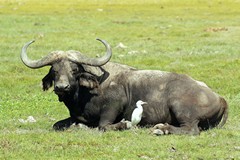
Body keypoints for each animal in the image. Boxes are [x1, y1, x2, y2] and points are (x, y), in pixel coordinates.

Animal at [20, 39, 227, 135]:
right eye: (54, 70)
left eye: (74, 69)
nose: (61, 87)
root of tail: (220, 98)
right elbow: (58, 124)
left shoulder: (114, 106)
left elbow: (103, 125)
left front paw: (125, 124)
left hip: (181, 108)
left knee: (191, 129)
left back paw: (161, 128)